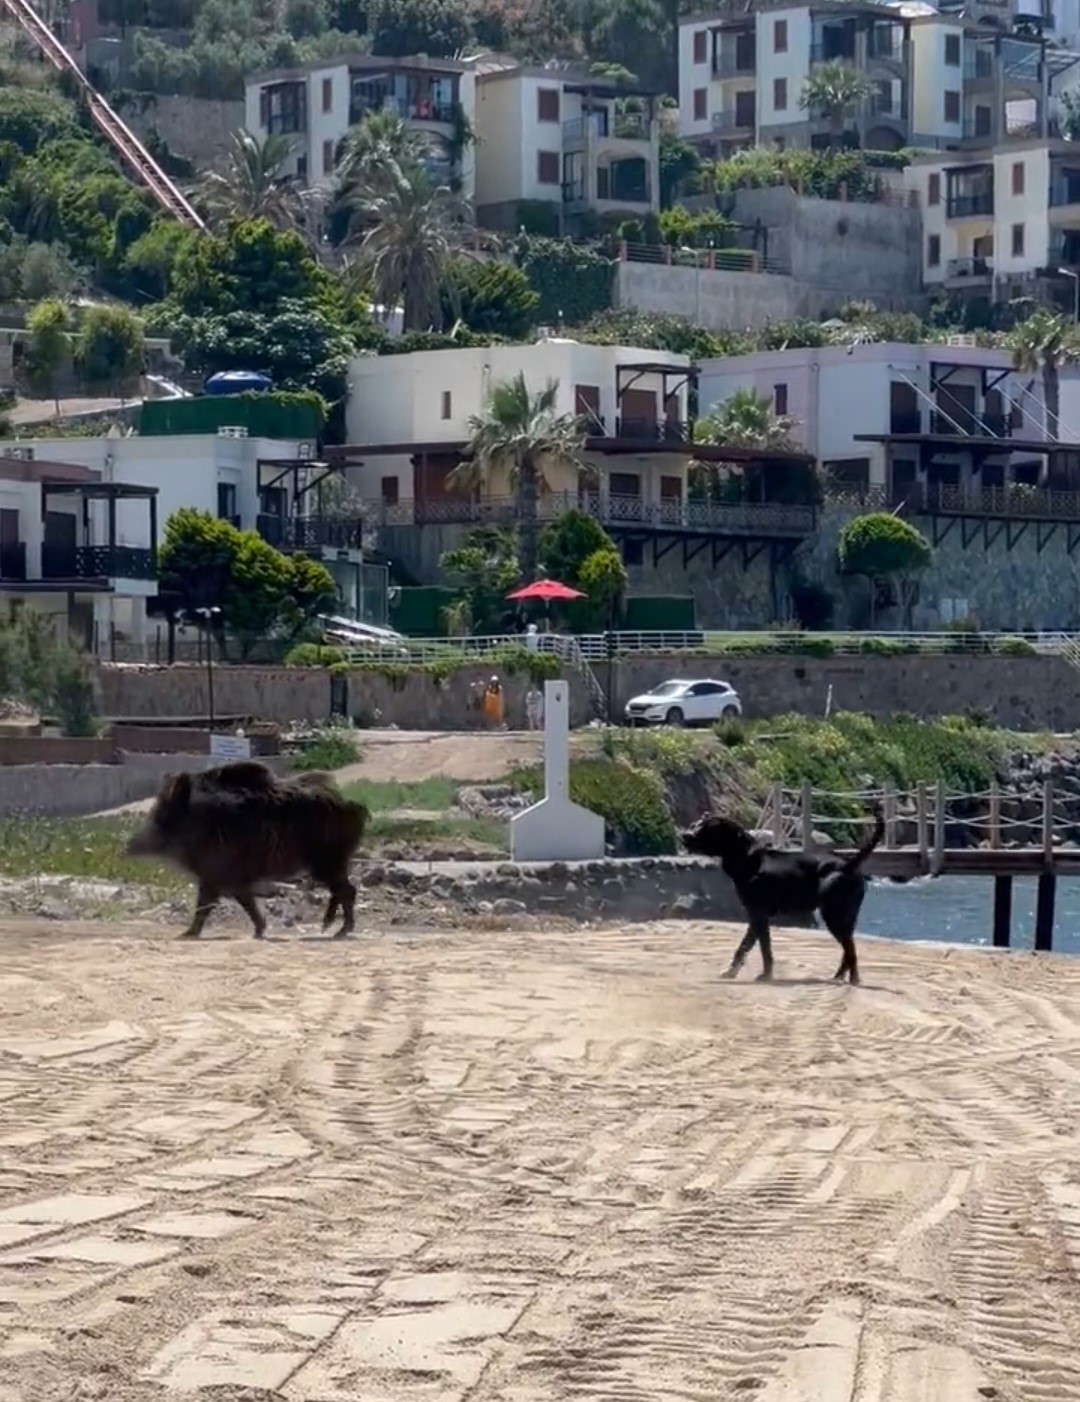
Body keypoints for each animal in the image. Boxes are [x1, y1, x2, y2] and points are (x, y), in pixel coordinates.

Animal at [681, 807, 886, 992]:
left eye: (705, 828)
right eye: (694, 824)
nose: (684, 835)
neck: (747, 859)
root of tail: (848, 865)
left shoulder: (758, 913)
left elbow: (760, 948)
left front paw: (764, 975)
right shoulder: (756, 916)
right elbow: (750, 946)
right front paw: (736, 971)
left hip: (834, 915)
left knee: (850, 949)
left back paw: (852, 979)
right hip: (843, 916)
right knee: (848, 946)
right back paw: (839, 977)